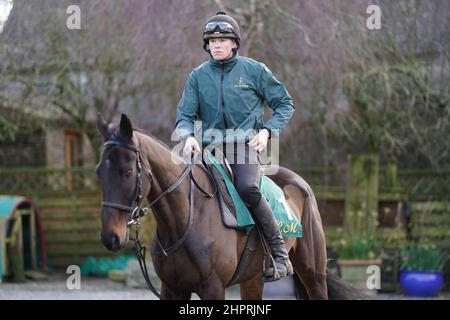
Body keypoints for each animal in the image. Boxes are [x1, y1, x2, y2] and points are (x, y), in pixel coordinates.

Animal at [96, 114, 360, 298]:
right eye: (99, 172)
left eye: (128, 172)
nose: (111, 237)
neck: (186, 218)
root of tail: (300, 183)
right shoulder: (172, 289)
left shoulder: (213, 289)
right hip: (254, 278)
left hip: (313, 275)